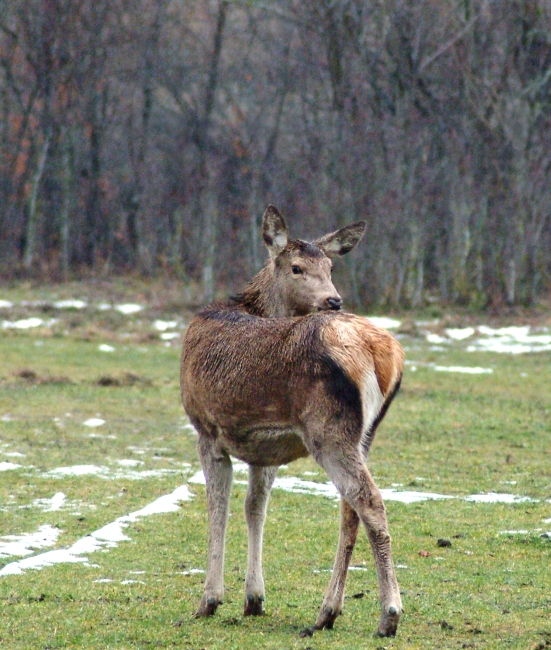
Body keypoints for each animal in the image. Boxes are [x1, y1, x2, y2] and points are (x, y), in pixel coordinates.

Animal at [181, 205, 406, 636]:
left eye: (331, 266)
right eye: (298, 267)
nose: (333, 299)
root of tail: (382, 353)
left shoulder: (208, 430)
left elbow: (218, 506)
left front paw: (209, 600)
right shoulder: (265, 449)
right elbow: (255, 506)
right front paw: (254, 598)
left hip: (327, 429)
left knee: (368, 500)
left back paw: (389, 614)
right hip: (363, 433)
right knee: (350, 507)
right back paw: (327, 611)